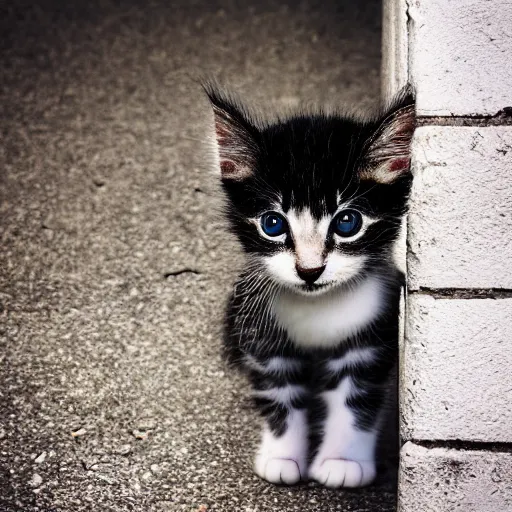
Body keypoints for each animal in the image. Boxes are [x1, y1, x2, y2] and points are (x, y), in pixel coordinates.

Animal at [205, 86, 416, 490]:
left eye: (347, 223)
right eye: (272, 224)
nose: (309, 270)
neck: (318, 310)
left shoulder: (371, 337)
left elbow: (356, 398)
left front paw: (342, 461)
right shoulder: (262, 337)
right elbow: (280, 394)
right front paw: (282, 456)